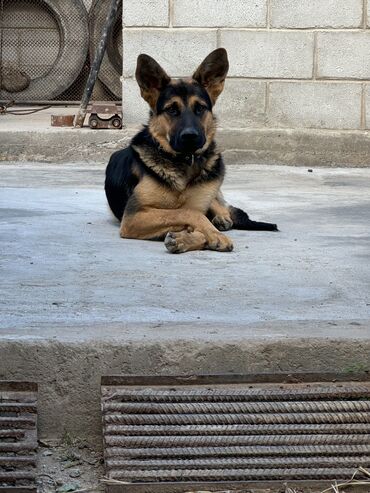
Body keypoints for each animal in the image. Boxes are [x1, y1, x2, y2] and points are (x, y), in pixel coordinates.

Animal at [105, 47, 276, 252]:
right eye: (171, 110)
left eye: (200, 108)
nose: (190, 136)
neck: (184, 162)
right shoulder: (134, 217)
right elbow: (186, 213)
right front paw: (198, 236)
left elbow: (194, 214)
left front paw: (191, 237)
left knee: (220, 203)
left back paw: (222, 217)